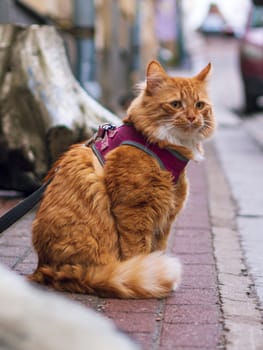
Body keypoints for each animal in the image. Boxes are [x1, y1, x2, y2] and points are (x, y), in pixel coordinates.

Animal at [28, 60, 216, 298]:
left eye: (200, 105)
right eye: (176, 104)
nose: (193, 117)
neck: (161, 147)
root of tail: (46, 268)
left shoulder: (165, 218)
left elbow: (158, 249)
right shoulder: (134, 210)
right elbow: (138, 253)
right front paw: (147, 272)